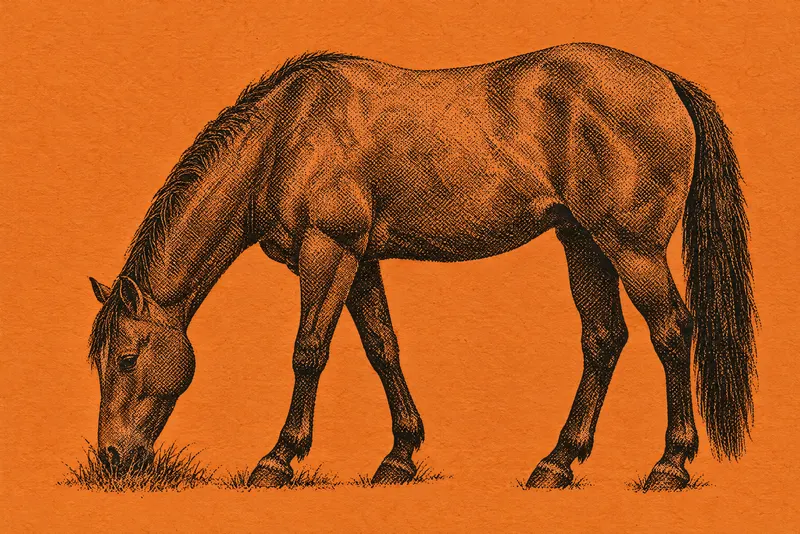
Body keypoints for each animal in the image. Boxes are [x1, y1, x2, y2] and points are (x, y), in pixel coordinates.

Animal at [87, 42, 757, 491]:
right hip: (584, 242)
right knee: (604, 340)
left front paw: (277, 459)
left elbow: (309, 351)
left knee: (671, 332)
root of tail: (665, 80)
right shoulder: (359, 261)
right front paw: (399, 456)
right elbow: (382, 348)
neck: (286, 135)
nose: (113, 458)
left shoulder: (327, 251)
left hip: (631, 247)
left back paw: (669, 465)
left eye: (126, 357)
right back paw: (555, 464)